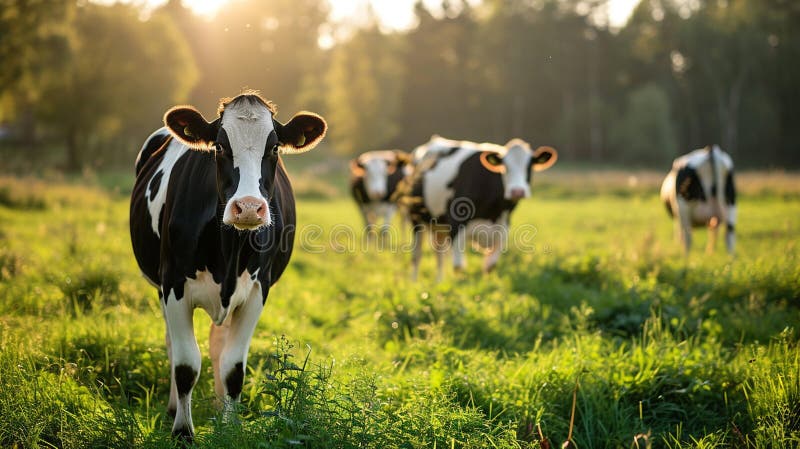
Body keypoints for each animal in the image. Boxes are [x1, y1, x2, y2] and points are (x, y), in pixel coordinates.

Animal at [128, 92, 324, 440]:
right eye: (219, 146)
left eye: (274, 147)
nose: (247, 207)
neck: (229, 253)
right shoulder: (173, 284)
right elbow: (186, 365)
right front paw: (183, 433)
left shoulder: (258, 289)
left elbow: (233, 367)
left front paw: (231, 428)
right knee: (172, 345)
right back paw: (174, 408)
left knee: (218, 347)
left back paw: (220, 410)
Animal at [406, 134, 556, 280]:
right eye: (505, 167)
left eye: (529, 166)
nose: (517, 191)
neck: (492, 213)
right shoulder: (456, 226)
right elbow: (459, 267)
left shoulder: (503, 230)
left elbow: (490, 267)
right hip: (416, 218)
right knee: (417, 256)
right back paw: (414, 282)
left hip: (438, 225)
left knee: (439, 255)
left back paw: (439, 282)